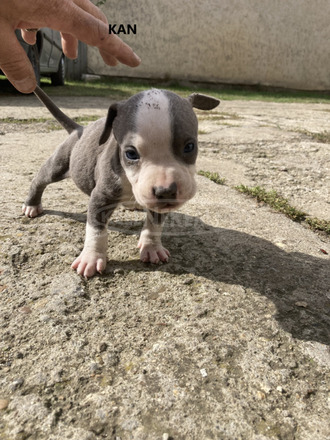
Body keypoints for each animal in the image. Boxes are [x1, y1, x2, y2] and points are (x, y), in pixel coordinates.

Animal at [22, 86, 219, 276]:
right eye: (130, 153)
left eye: (190, 146)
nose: (166, 191)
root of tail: (80, 129)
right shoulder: (101, 197)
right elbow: (96, 230)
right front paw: (91, 258)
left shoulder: (158, 204)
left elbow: (154, 224)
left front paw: (152, 247)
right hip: (59, 165)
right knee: (40, 180)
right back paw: (32, 204)